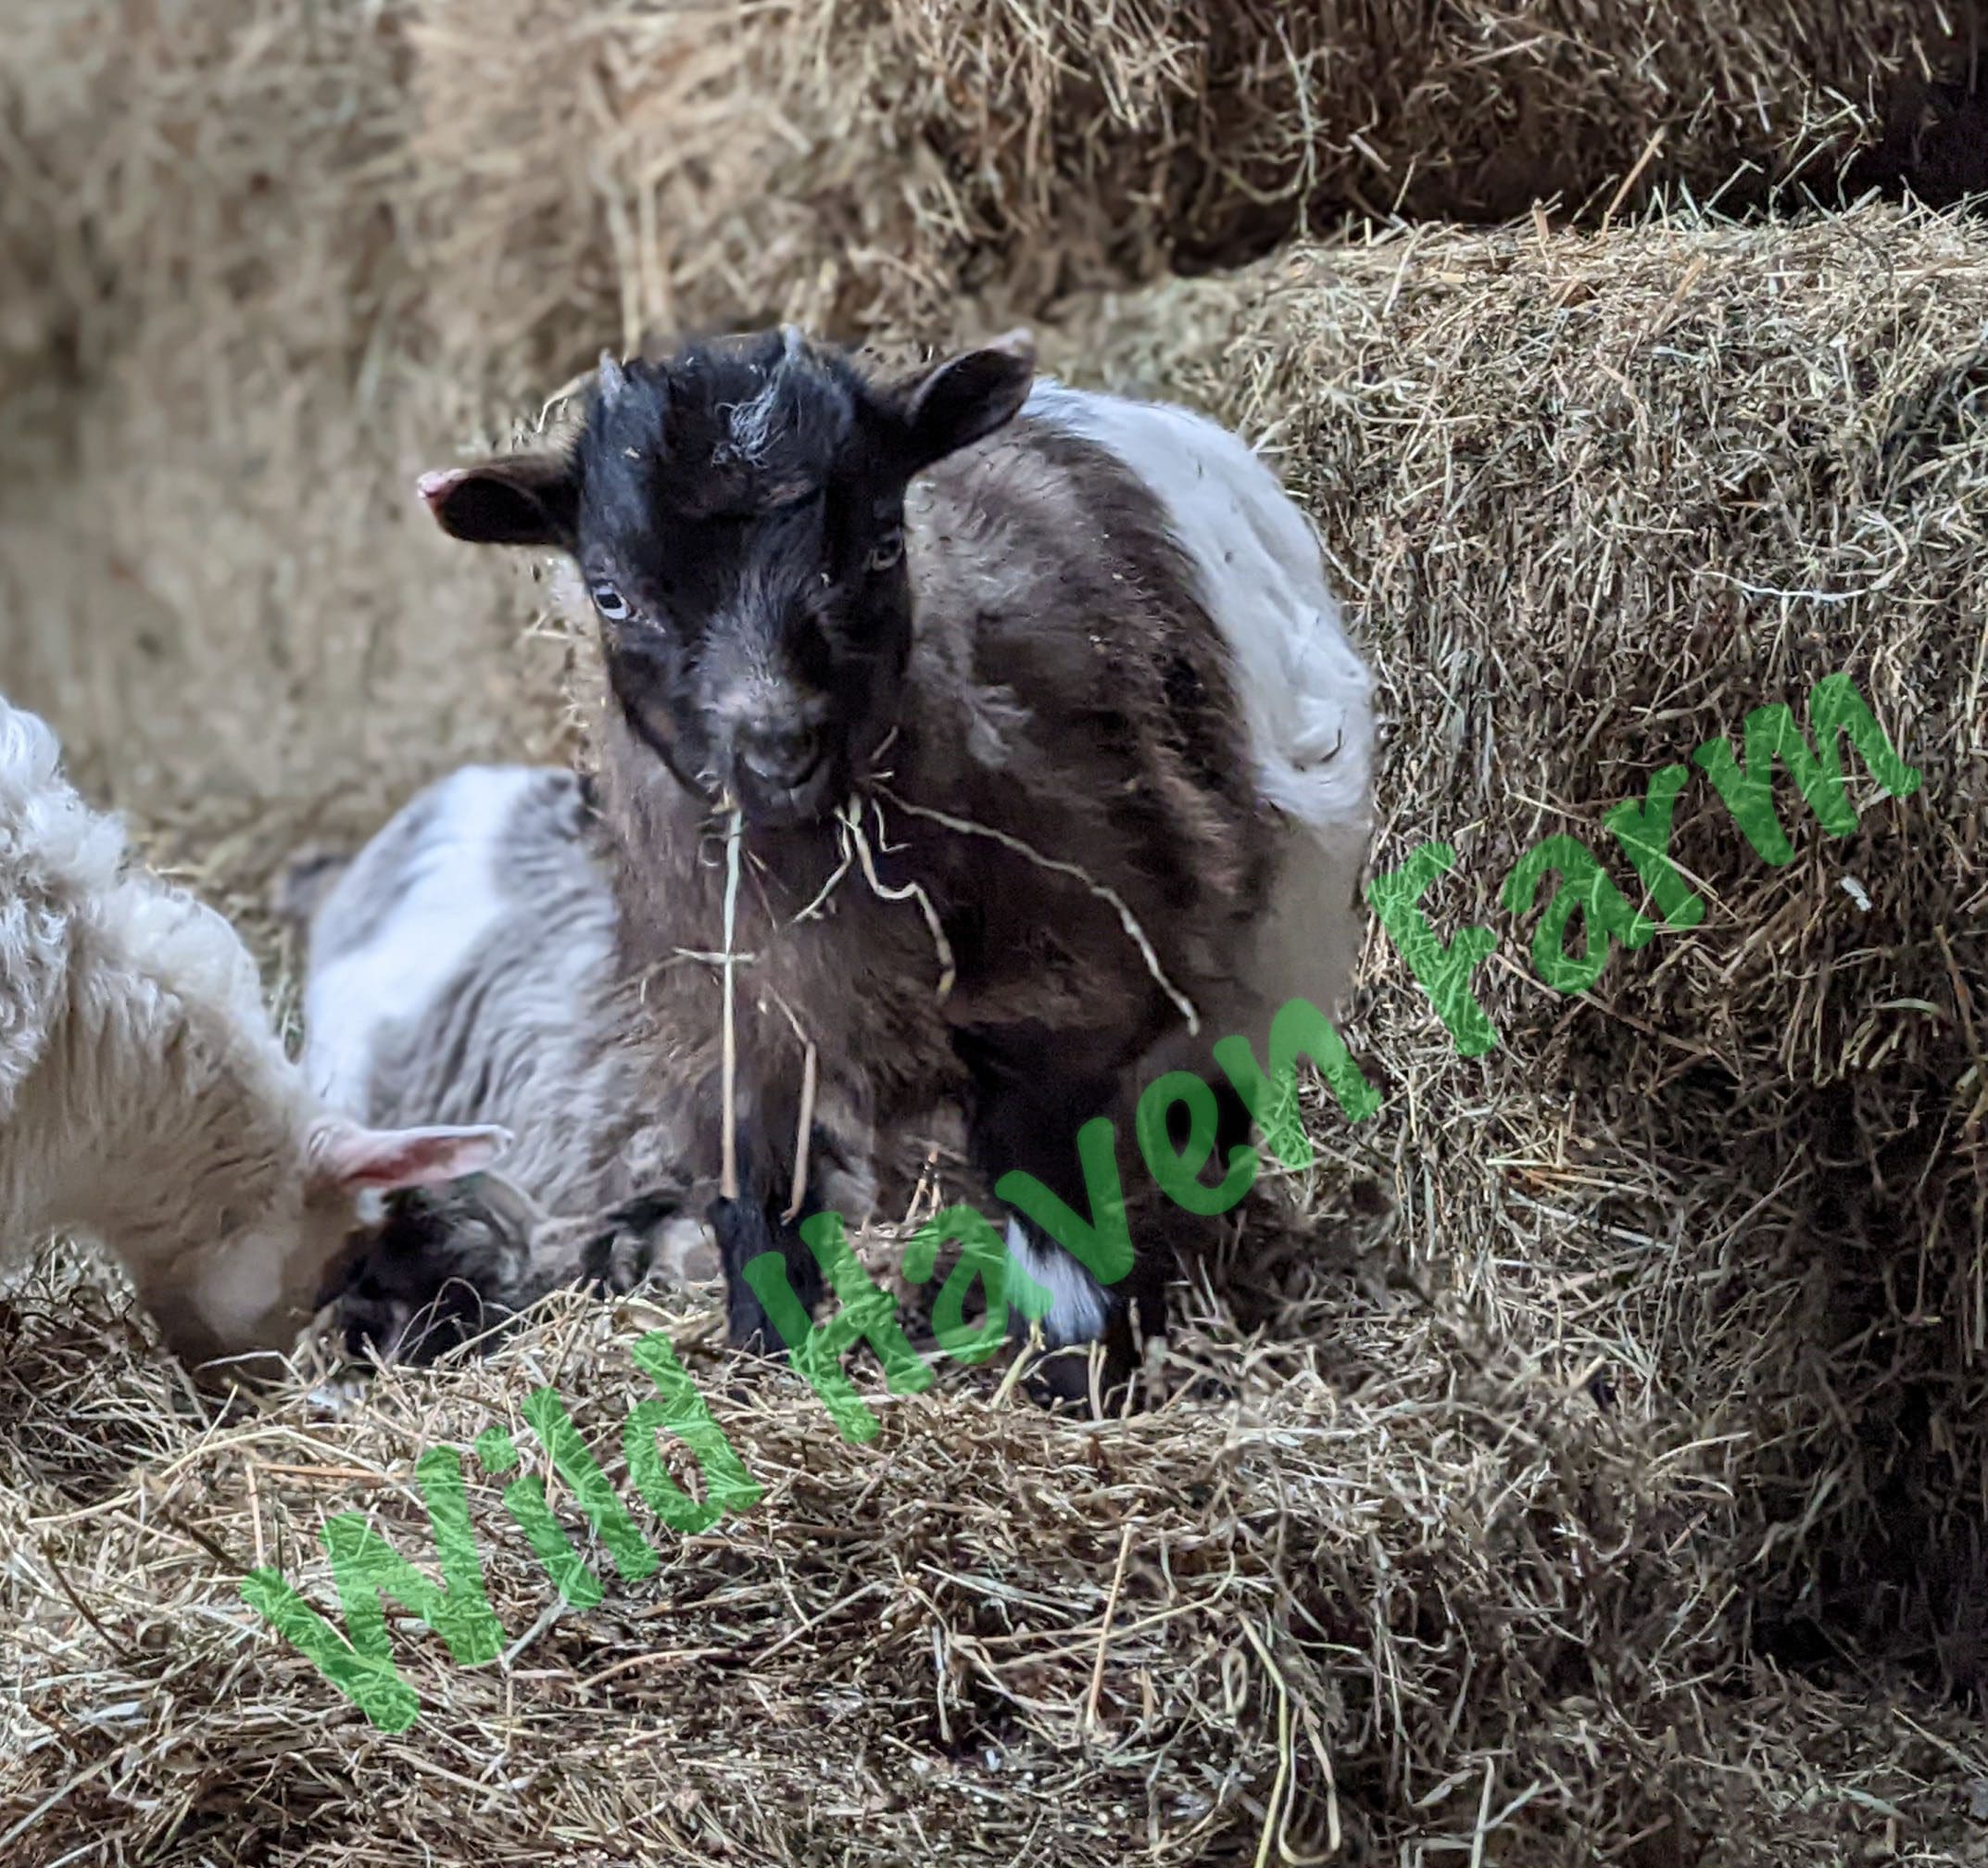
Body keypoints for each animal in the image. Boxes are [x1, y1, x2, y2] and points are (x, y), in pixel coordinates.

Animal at [419, 328, 1376, 1392]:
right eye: (611, 593)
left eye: (881, 542)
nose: (778, 748)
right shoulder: (731, 1033)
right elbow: (757, 1210)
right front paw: (769, 1363)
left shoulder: (1064, 993)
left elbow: (1044, 1181)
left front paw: (1078, 1367)